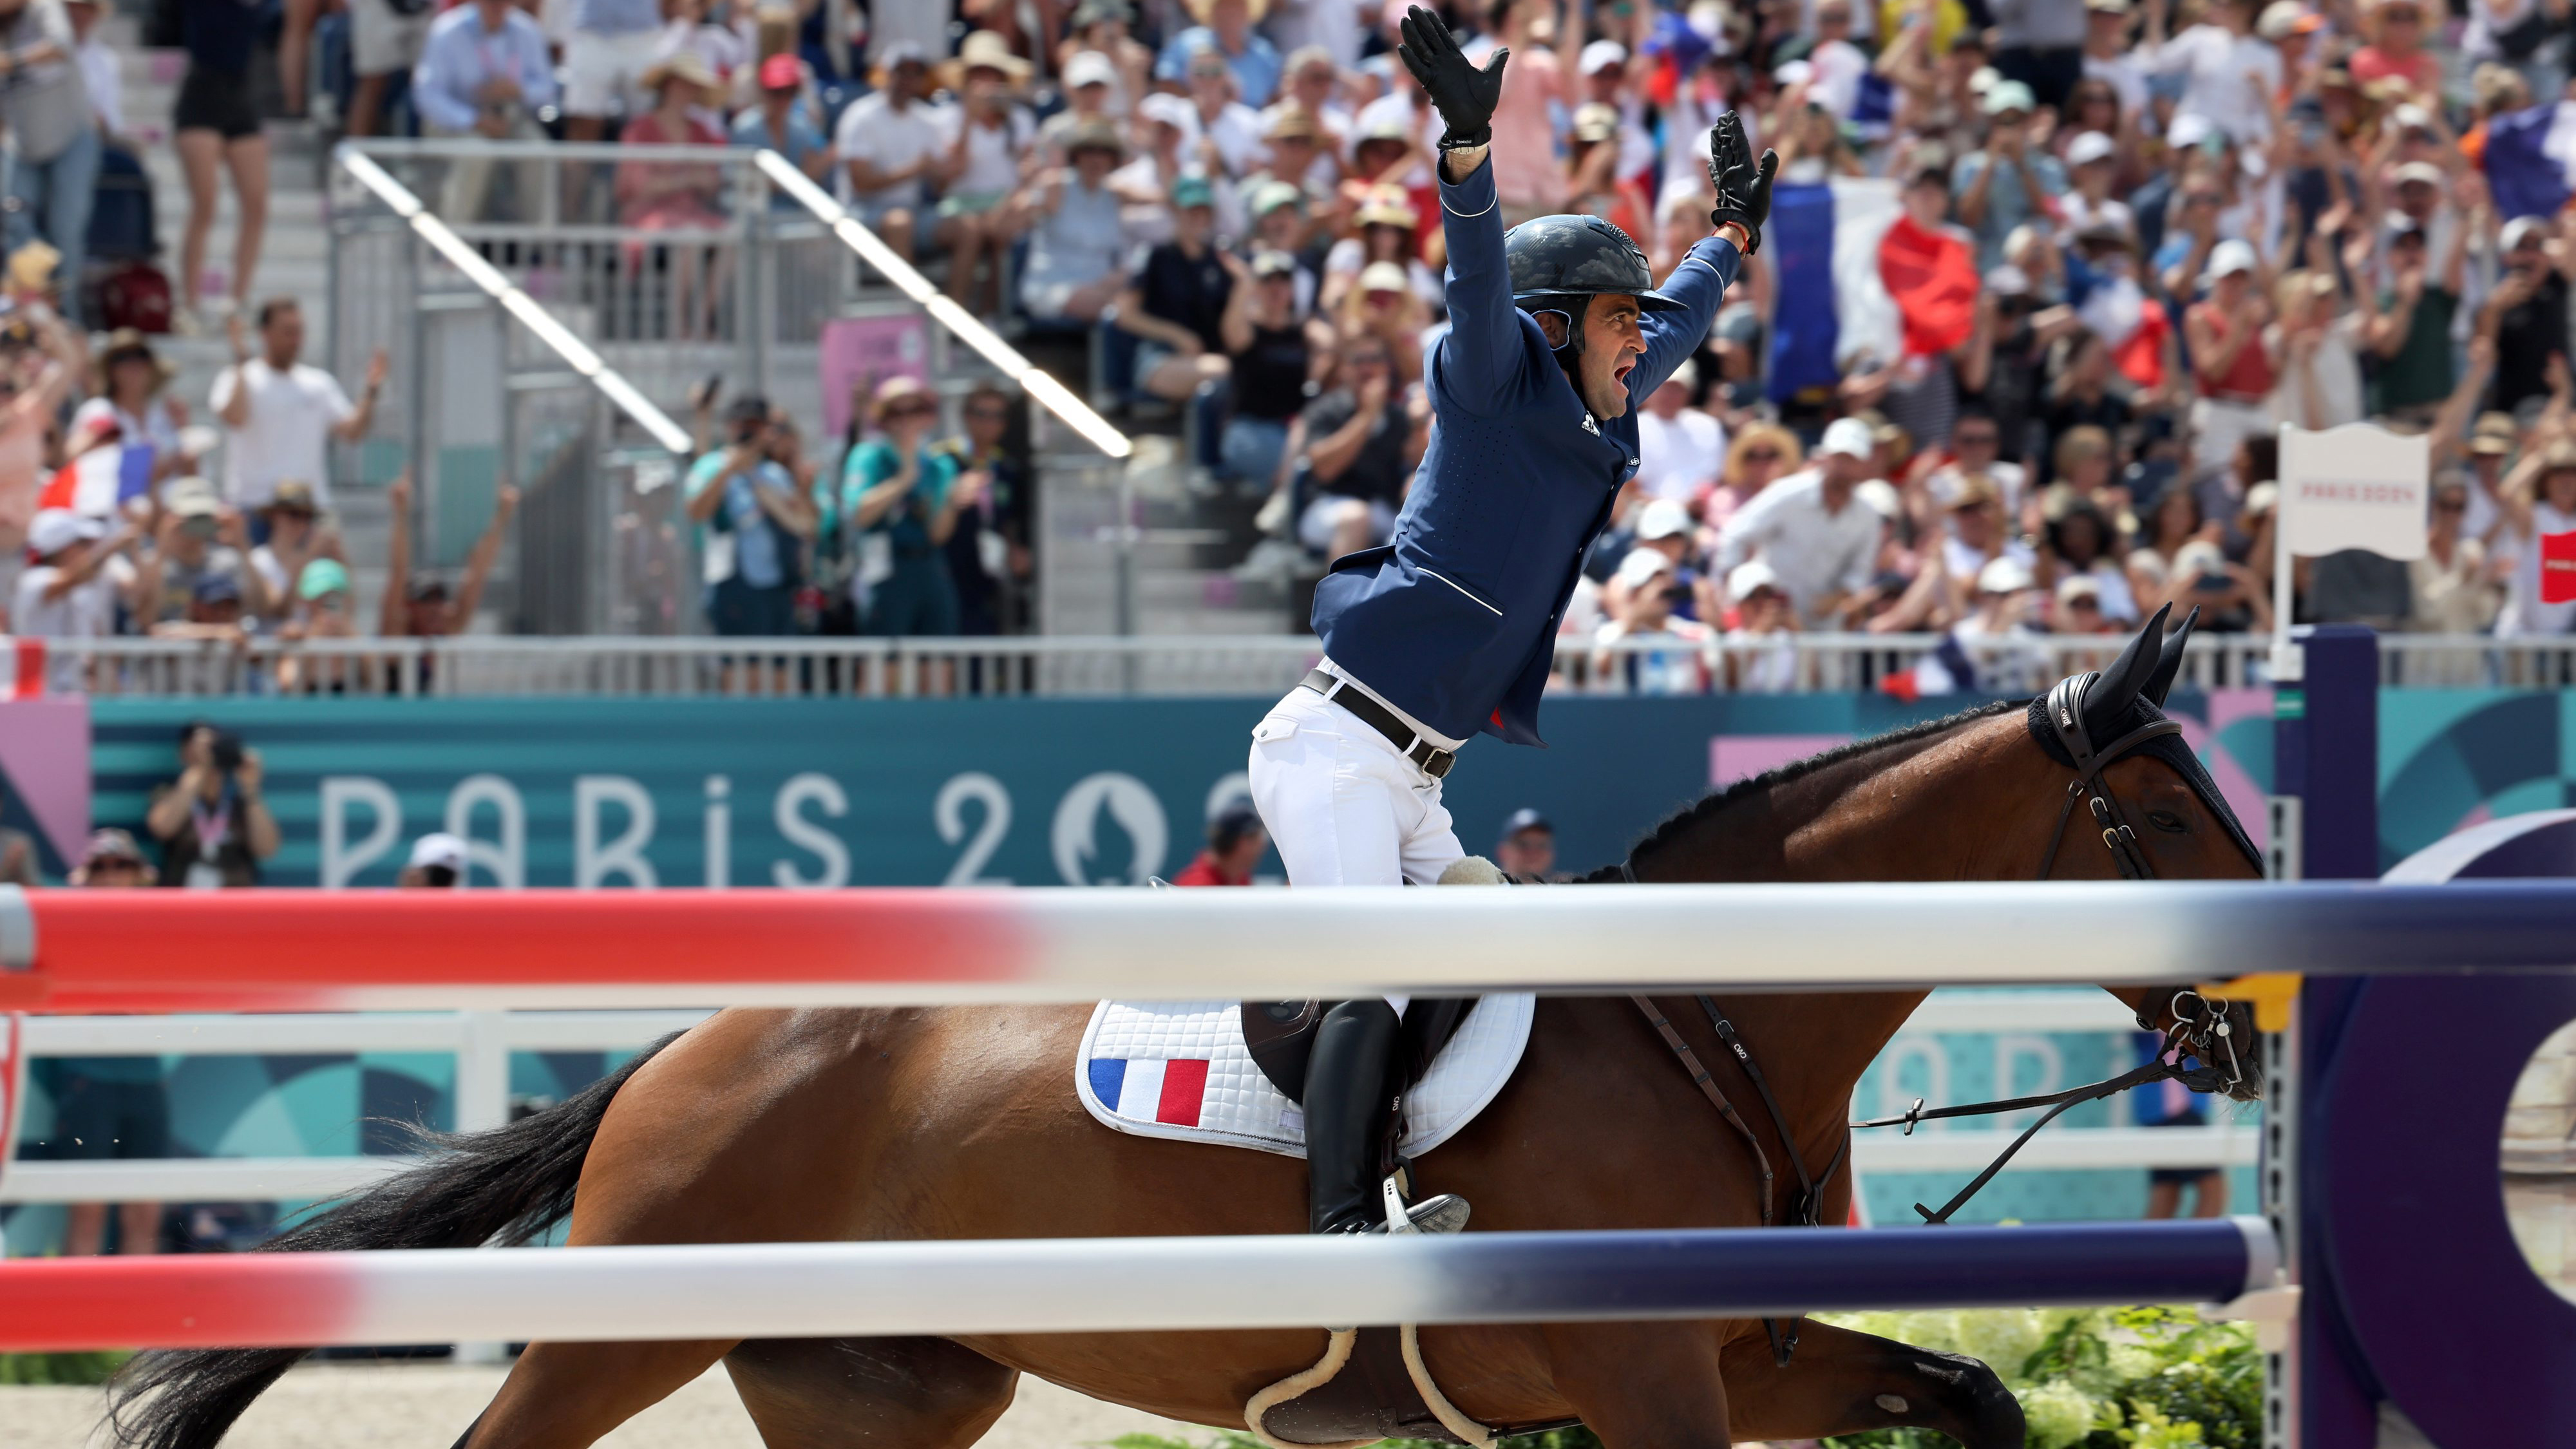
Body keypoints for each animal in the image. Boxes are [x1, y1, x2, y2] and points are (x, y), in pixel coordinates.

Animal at [111, 608, 2267, 1443]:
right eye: (2167, 816)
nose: (2246, 1027)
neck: (1708, 1020)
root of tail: (678, 1050)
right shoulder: (1649, 1375)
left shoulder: (1742, 1357)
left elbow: (1970, 1392)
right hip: (618, 1333)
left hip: (882, 1389)